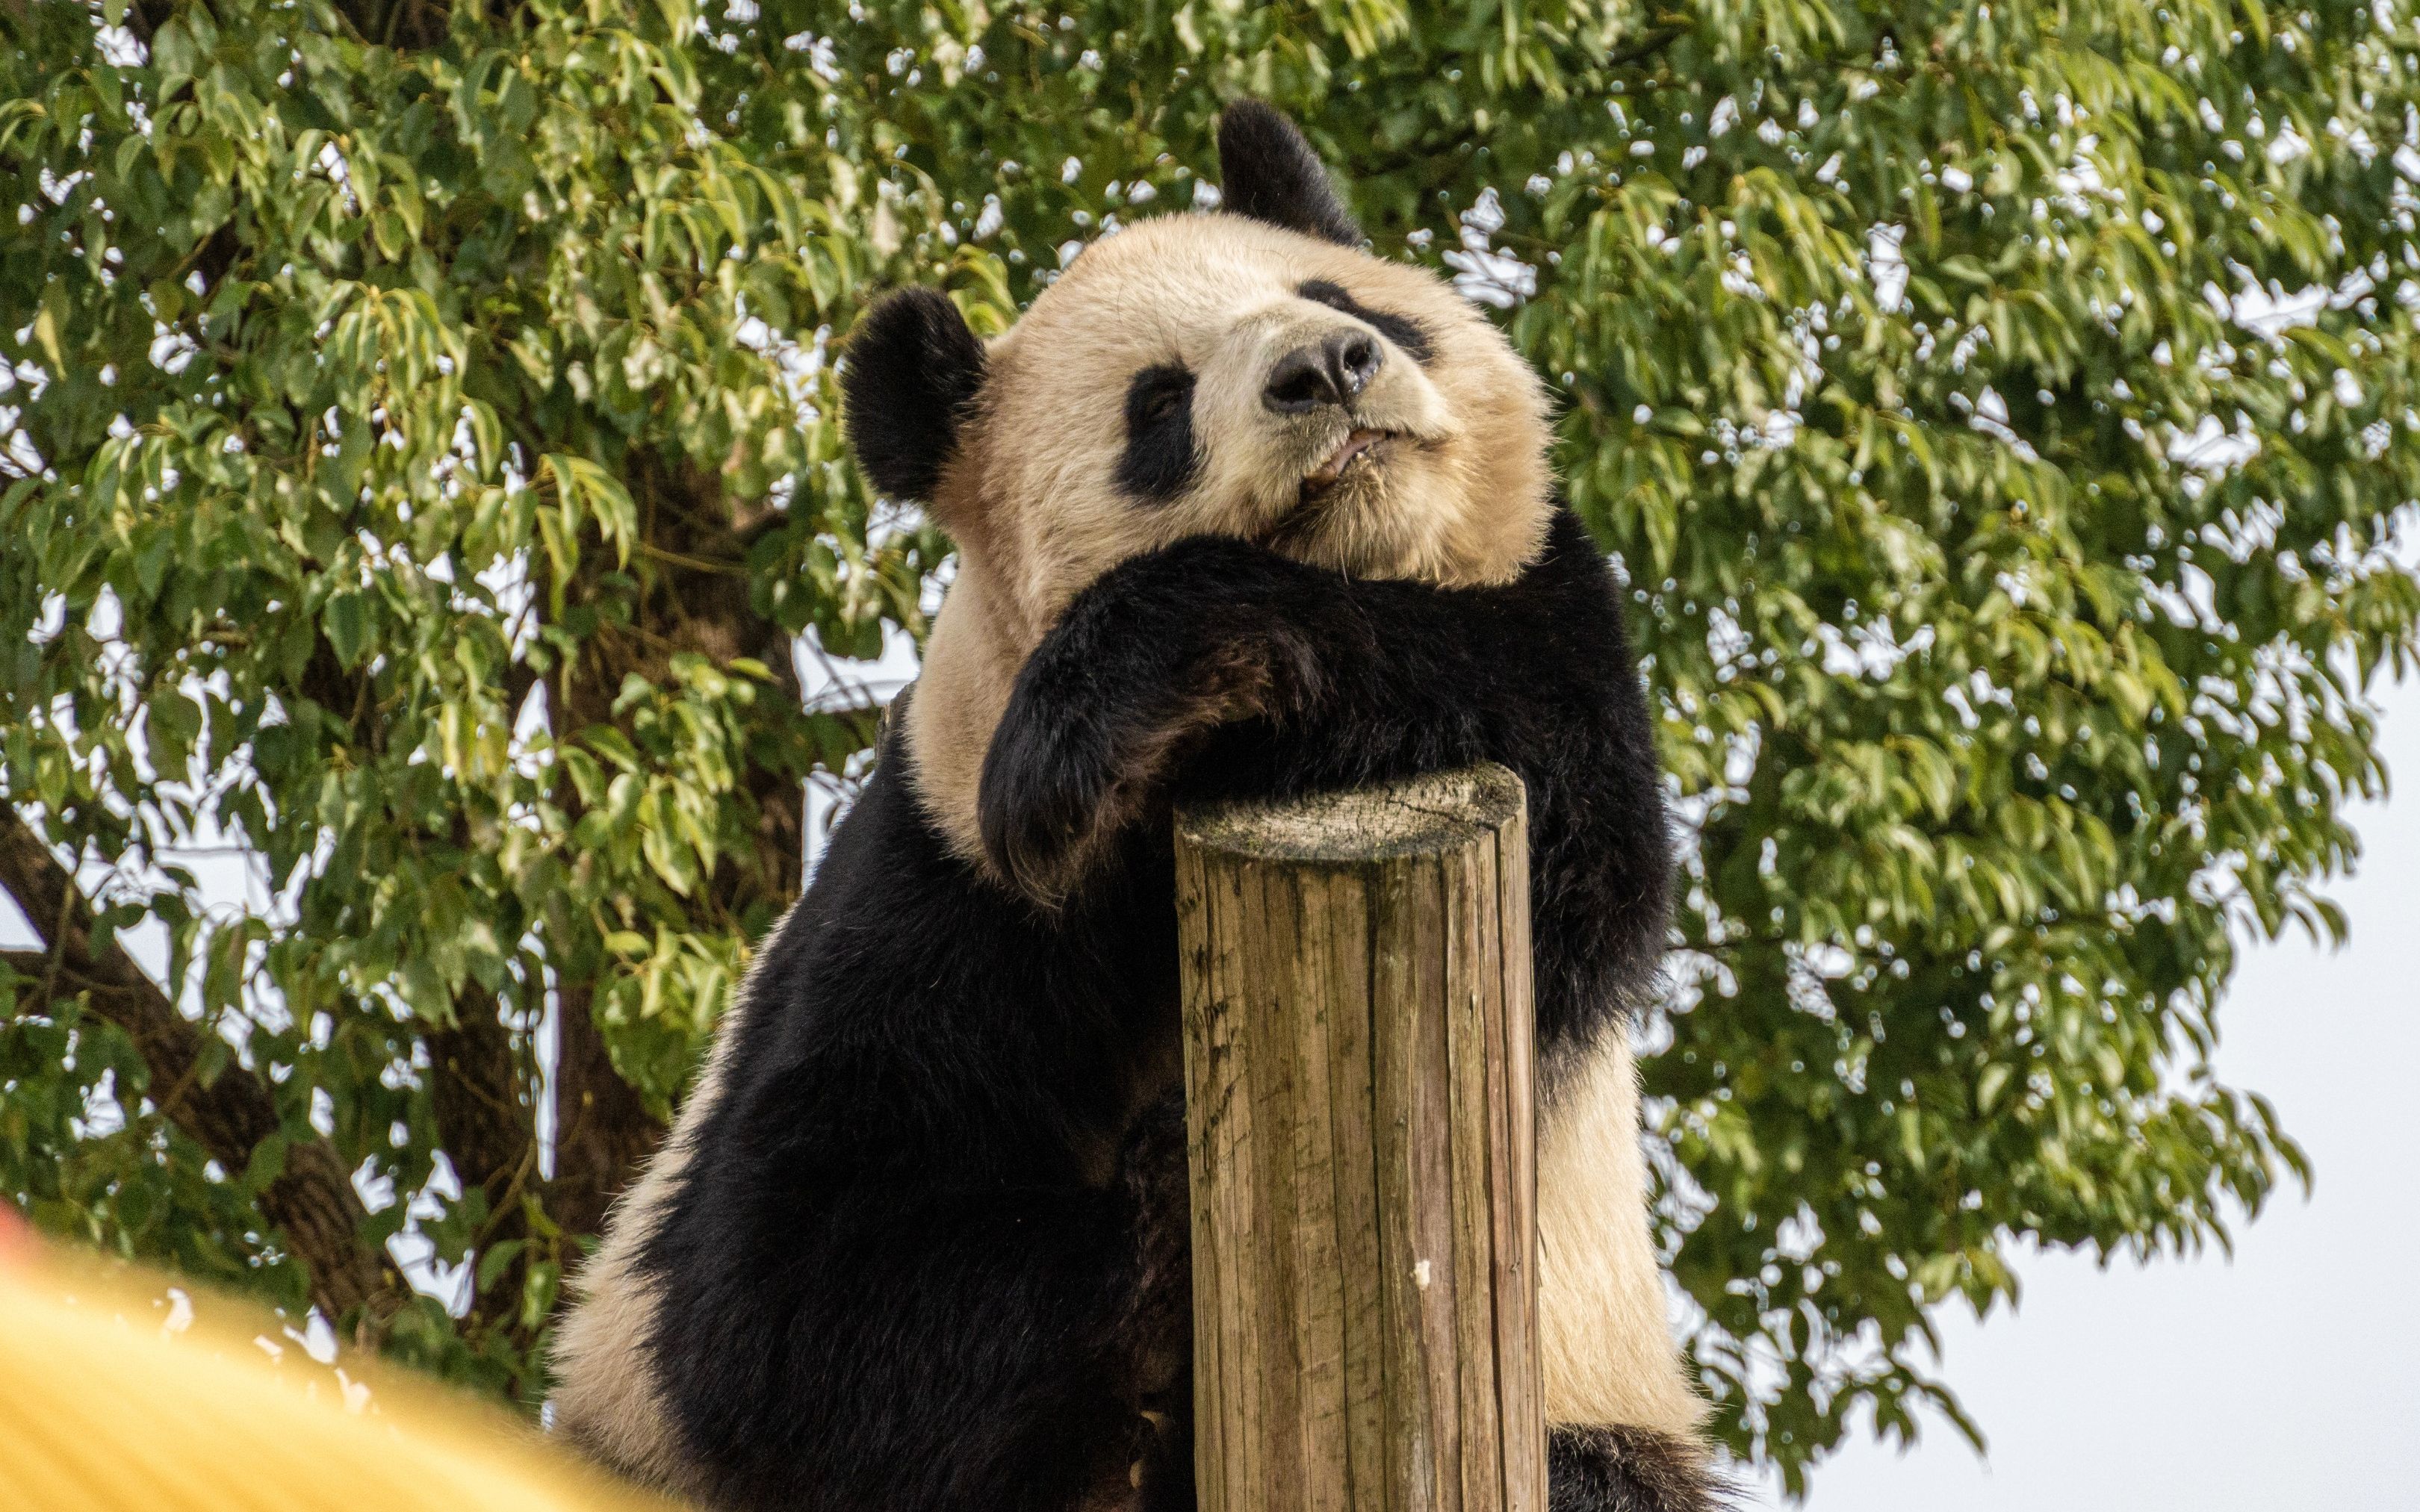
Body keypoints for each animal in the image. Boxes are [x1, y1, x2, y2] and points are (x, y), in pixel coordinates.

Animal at [553, 106, 1722, 1509]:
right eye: (1157, 404)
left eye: (1339, 298)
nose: (1330, 367)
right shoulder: (948, 886)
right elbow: (779, 1305)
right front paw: (1177, 1194)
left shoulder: (1548, 629)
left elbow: (1568, 805)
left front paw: (1139, 683)